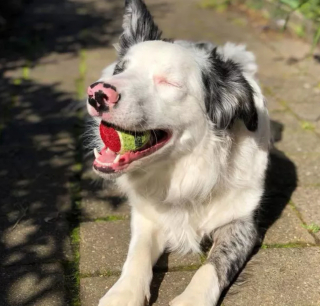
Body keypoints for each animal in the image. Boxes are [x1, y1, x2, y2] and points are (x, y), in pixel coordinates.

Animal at [85, 1, 270, 304]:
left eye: (168, 83)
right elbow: (137, 254)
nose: (98, 93)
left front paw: (191, 299)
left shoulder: (241, 223)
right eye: (120, 70)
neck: (188, 170)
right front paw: (123, 293)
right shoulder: (146, 217)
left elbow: (212, 267)